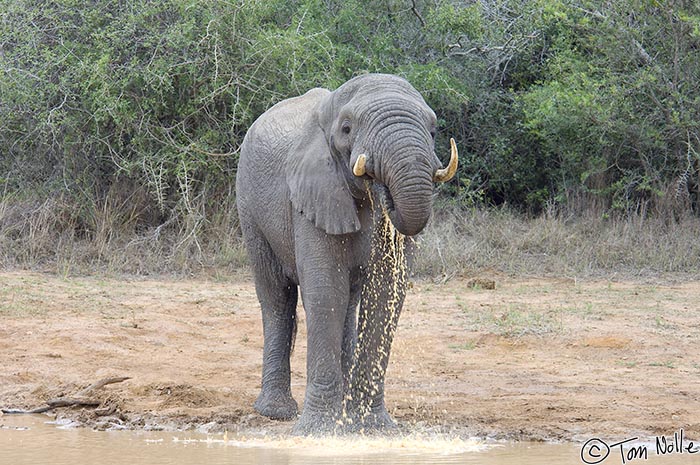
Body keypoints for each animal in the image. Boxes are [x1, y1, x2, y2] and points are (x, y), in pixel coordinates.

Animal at [235, 73, 460, 436]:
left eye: (434, 130)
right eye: (346, 129)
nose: (384, 189)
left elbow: (383, 293)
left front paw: (371, 428)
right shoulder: (312, 192)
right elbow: (325, 292)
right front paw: (321, 432)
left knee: (349, 303)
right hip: (249, 209)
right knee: (277, 297)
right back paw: (276, 412)